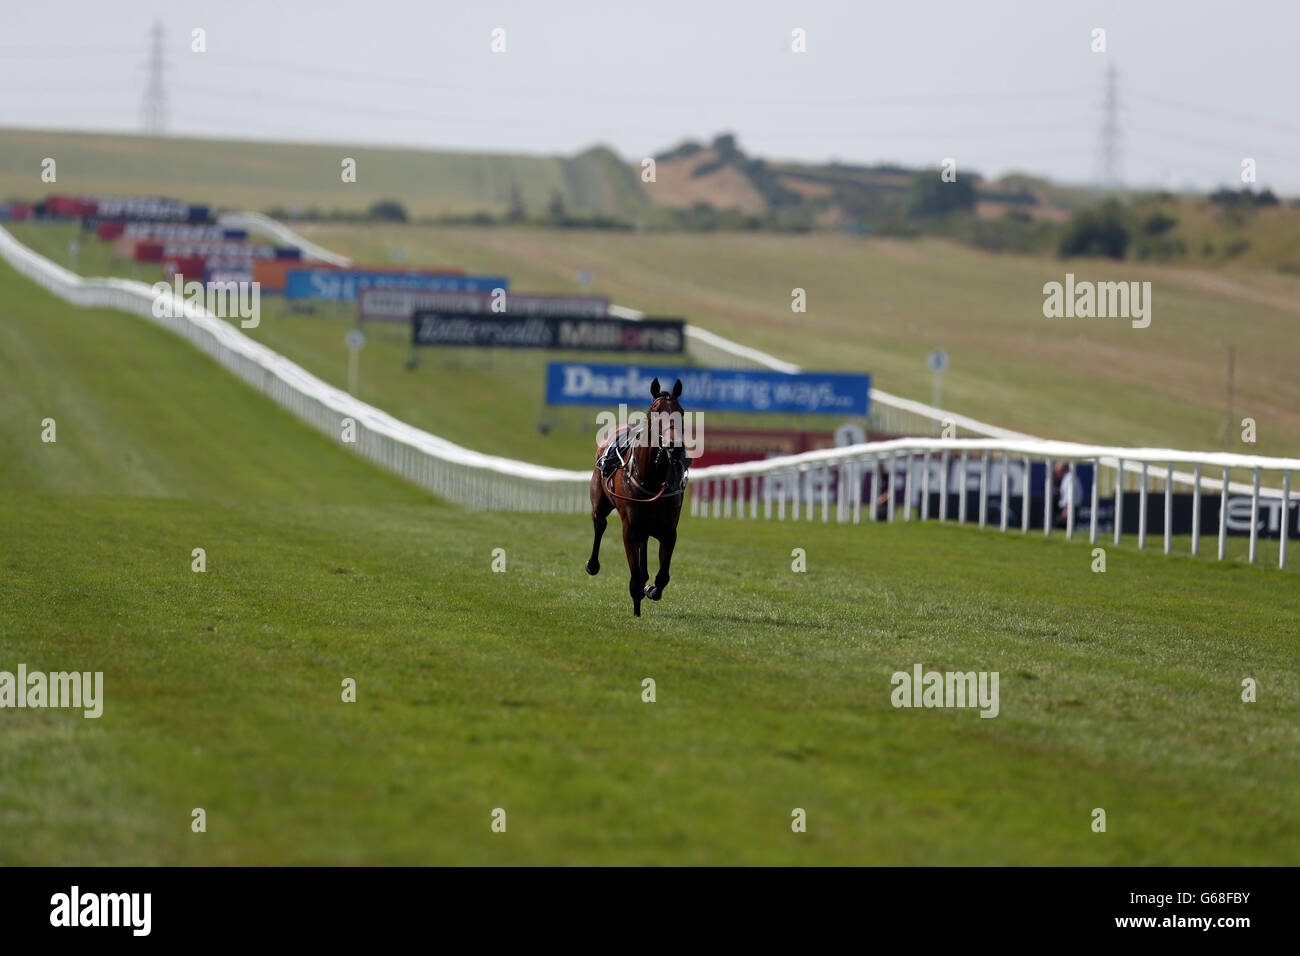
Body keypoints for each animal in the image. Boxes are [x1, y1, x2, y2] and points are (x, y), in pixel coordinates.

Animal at [587, 377, 686, 616]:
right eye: (656, 412)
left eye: (681, 412)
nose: (675, 447)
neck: (651, 479)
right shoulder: (630, 528)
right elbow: (635, 576)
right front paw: (637, 604)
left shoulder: (669, 529)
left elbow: (663, 576)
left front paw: (651, 589)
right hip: (600, 503)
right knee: (599, 525)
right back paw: (592, 565)